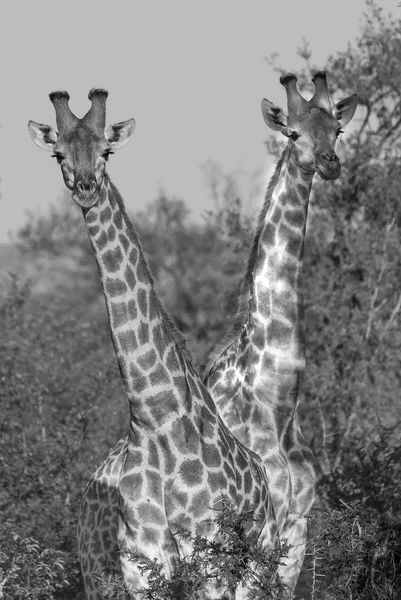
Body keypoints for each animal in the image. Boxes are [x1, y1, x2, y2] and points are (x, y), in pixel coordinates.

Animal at [28, 89, 278, 600]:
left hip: (255, 564)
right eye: (59, 153)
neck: (155, 419)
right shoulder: (139, 562)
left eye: (106, 150)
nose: (86, 187)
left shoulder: (210, 557)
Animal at [202, 71, 358, 592]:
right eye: (292, 133)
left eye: (337, 130)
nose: (329, 163)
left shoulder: (298, 526)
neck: (279, 403)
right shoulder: (260, 528)